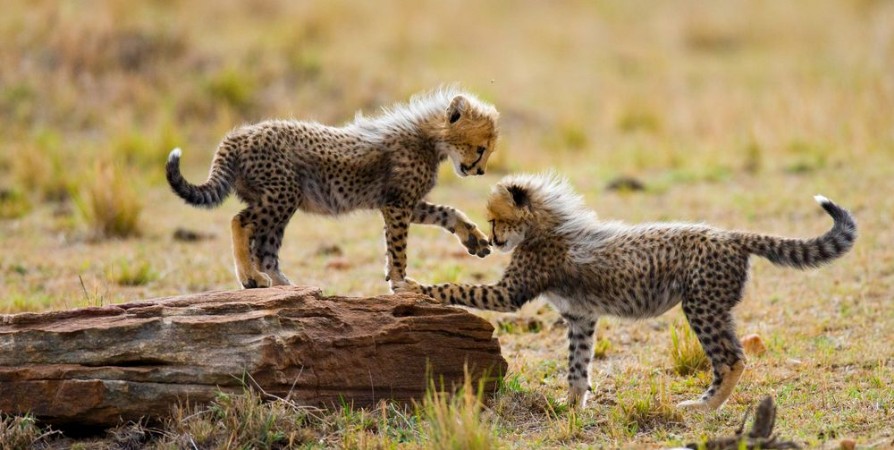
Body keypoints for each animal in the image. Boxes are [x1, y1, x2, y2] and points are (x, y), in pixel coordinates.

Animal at [165, 87, 498, 289]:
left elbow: (448, 212)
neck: (429, 137)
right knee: (241, 221)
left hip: (281, 201)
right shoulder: (397, 204)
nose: (480, 171)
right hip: (282, 195)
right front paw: (401, 282)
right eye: (481, 149)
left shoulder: (405, 203)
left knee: (265, 247)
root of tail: (237, 135)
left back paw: (284, 285)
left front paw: (474, 238)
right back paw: (251, 278)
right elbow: (398, 248)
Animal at [395, 172, 857, 410]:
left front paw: (414, 285)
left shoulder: (509, 294)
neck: (544, 226)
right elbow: (577, 367)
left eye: (495, 219)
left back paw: (704, 405)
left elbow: (460, 288)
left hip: (701, 306)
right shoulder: (581, 317)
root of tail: (729, 234)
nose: (492, 240)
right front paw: (571, 407)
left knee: (732, 358)